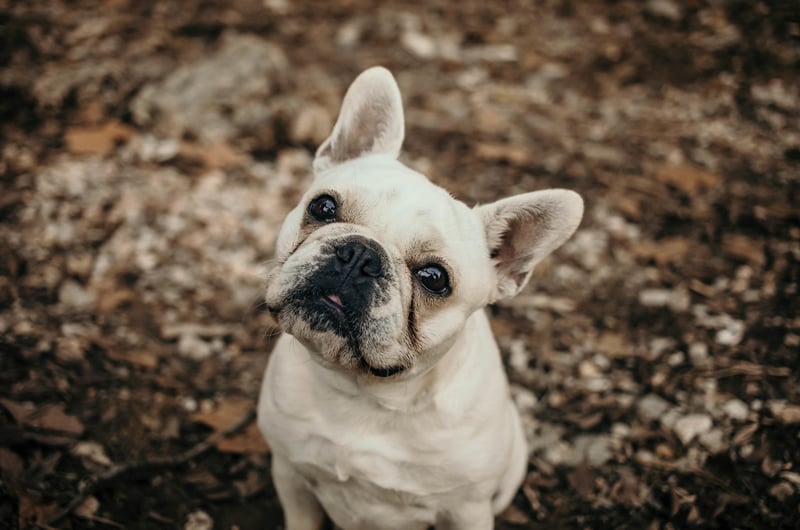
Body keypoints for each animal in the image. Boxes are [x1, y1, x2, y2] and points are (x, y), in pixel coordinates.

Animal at [260, 67, 584, 528]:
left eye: (434, 278)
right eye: (322, 207)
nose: (359, 255)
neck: (364, 393)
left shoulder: (467, 510)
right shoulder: (291, 475)